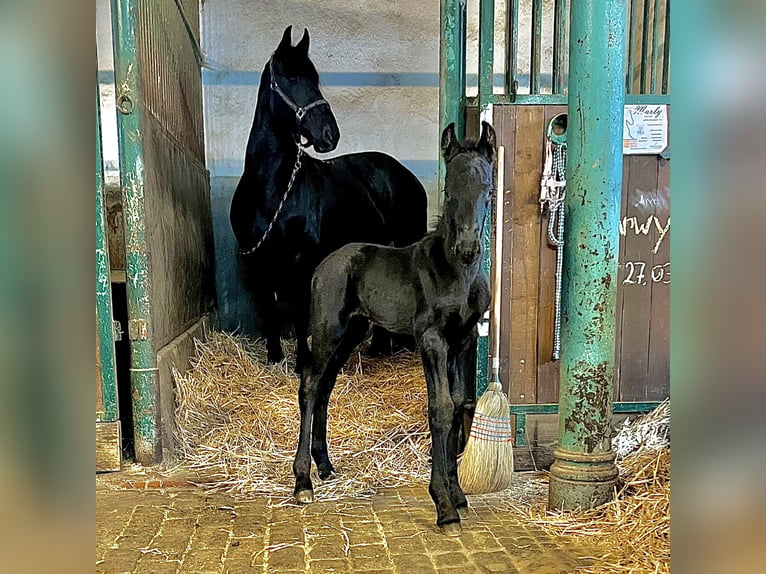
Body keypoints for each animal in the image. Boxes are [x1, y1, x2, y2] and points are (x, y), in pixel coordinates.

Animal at [231, 27, 428, 372]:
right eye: (292, 77)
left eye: (316, 79)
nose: (329, 135)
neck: (270, 191)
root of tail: (404, 173)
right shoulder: (260, 263)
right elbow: (269, 311)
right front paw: (274, 358)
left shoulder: (302, 262)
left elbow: (301, 315)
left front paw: (303, 363)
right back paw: (378, 347)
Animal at [294, 122, 498, 540]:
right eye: (449, 192)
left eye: (488, 190)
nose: (468, 249)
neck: (457, 274)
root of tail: (325, 264)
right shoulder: (432, 339)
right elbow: (441, 407)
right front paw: (444, 506)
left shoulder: (464, 339)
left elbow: (460, 403)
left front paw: (458, 495)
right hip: (326, 330)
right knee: (309, 387)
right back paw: (303, 483)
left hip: (352, 333)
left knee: (324, 388)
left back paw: (325, 466)